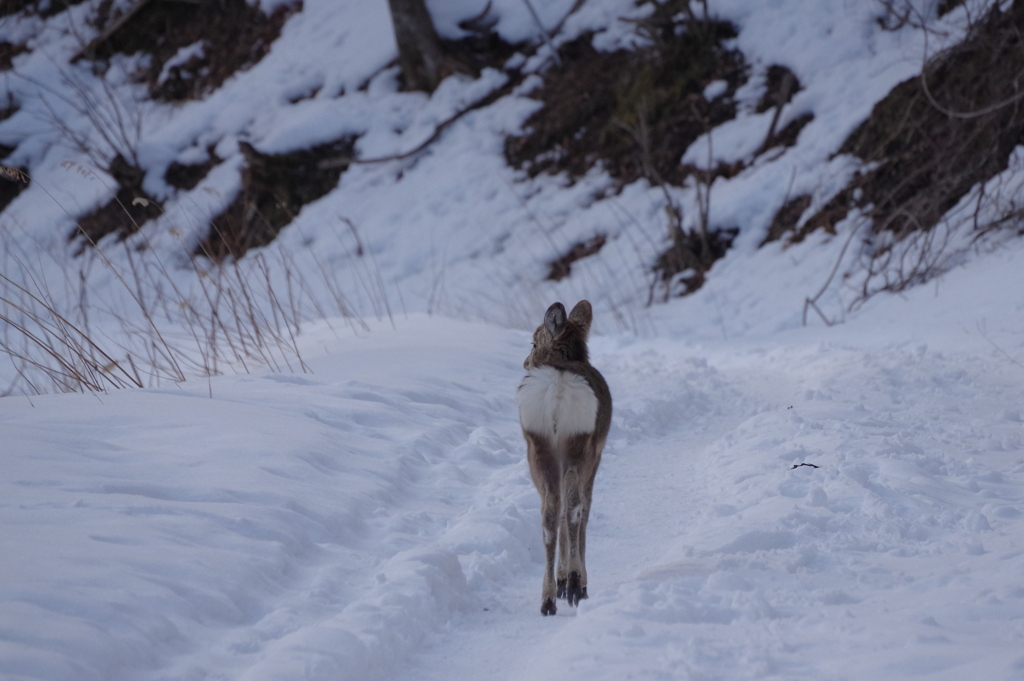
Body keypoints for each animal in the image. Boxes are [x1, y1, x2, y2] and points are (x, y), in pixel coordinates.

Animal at [520, 301, 606, 614]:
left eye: (534, 342)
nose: (525, 363)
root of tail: (557, 393)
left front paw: (560, 582)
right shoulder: (596, 457)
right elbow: (585, 511)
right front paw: (573, 581)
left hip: (538, 448)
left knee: (550, 514)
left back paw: (548, 598)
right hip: (579, 447)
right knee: (574, 508)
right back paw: (575, 584)